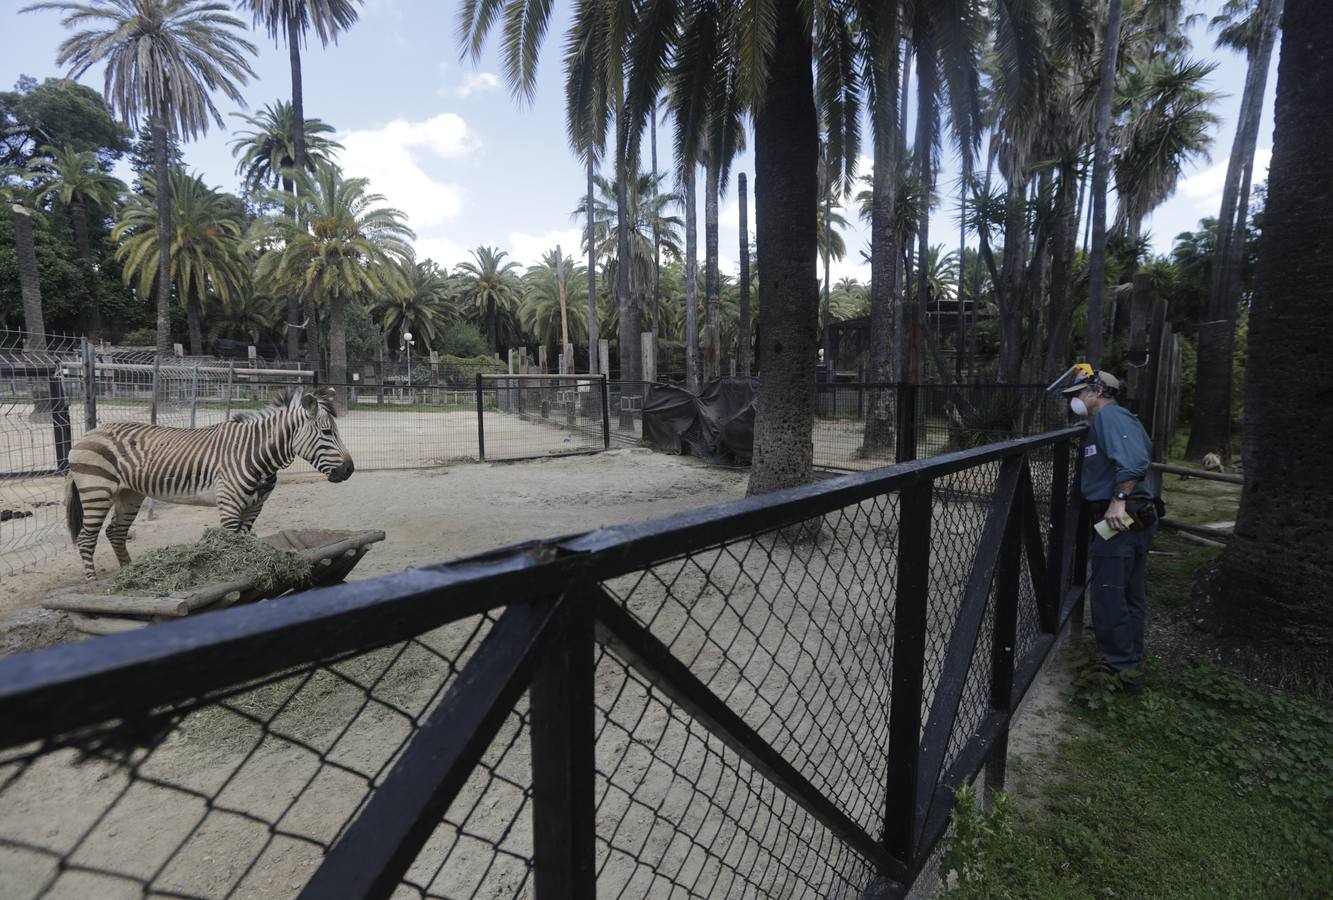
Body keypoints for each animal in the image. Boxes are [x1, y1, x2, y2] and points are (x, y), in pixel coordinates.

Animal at [65, 386, 354, 581]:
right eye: (327, 432)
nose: (349, 470)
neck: (255, 453)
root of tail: (85, 435)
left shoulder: (254, 507)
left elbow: (244, 541)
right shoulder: (229, 505)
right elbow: (231, 543)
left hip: (129, 494)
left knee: (115, 531)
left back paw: (130, 571)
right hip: (97, 490)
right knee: (86, 538)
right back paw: (93, 583)